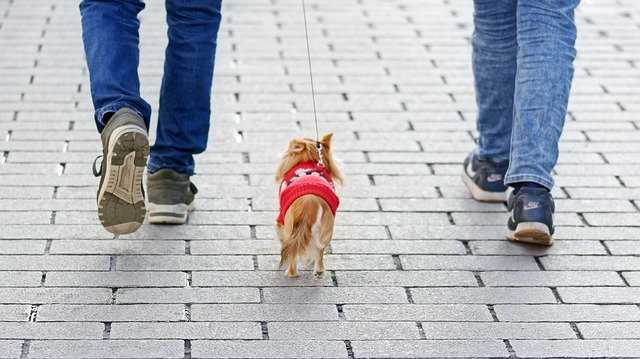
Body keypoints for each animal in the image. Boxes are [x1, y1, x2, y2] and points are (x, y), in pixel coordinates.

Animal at [276, 134, 344, 278]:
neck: (309, 159)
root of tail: (310, 203)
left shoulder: (280, 220)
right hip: (326, 229)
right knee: (320, 250)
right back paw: (318, 271)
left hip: (289, 227)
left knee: (293, 254)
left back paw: (291, 273)